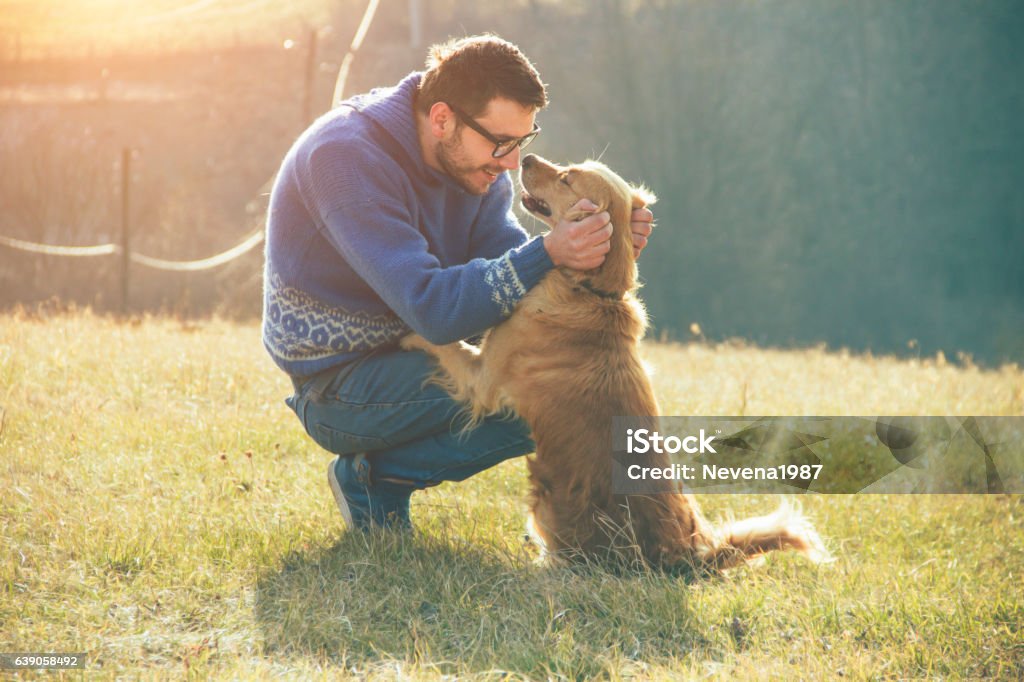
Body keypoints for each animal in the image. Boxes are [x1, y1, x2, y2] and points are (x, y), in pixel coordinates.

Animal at [401, 152, 831, 569]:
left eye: (567, 179)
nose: (525, 159)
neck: (588, 289)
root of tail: (690, 555)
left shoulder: (483, 380)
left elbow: (445, 344)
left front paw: (403, 331)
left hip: (548, 501)